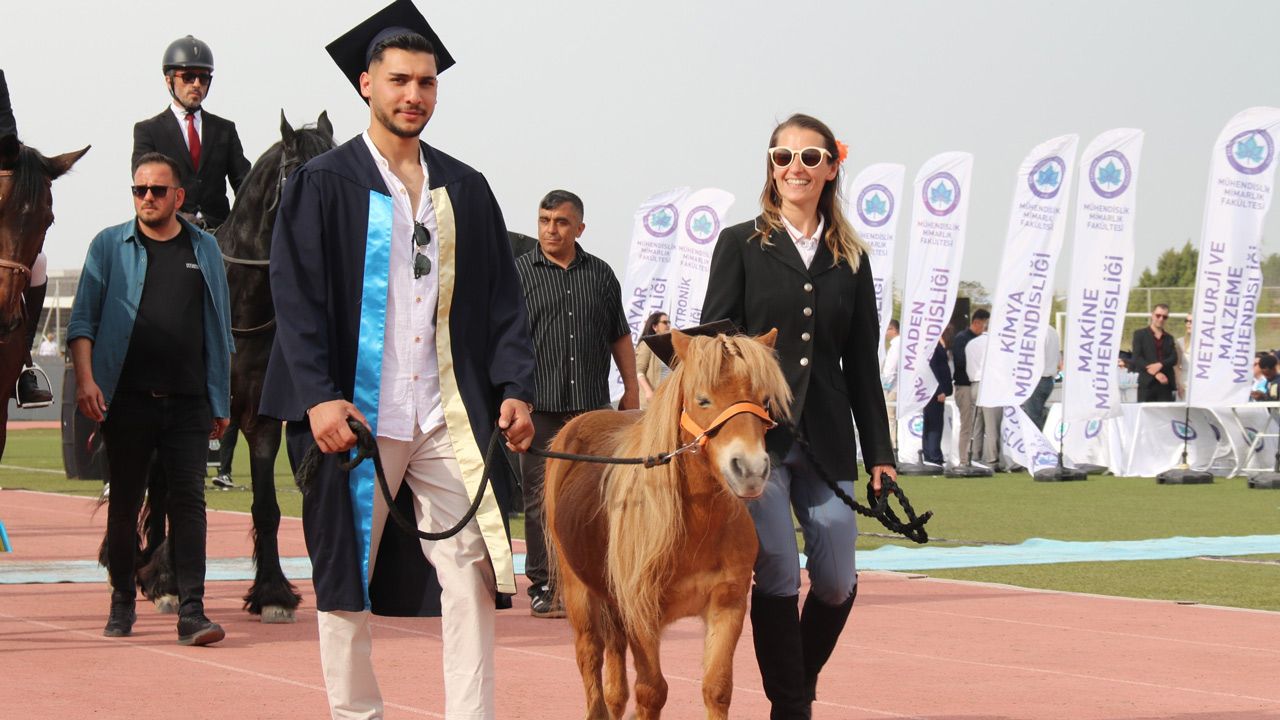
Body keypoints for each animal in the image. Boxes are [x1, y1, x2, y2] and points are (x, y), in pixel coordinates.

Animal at [124, 111, 334, 622]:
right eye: (301, 170)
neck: (239, 303)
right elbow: (180, 501)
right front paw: (169, 581)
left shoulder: (261, 421)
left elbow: (267, 508)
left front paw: (273, 592)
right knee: (154, 491)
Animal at [546, 329, 792, 719]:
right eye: (702, 399)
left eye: (764, 401)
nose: (751, 470)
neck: (696, 528)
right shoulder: (641, 612)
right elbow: (652, 692)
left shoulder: (729, 604)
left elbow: (717, 688)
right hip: (579, 592)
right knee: (591, 660)